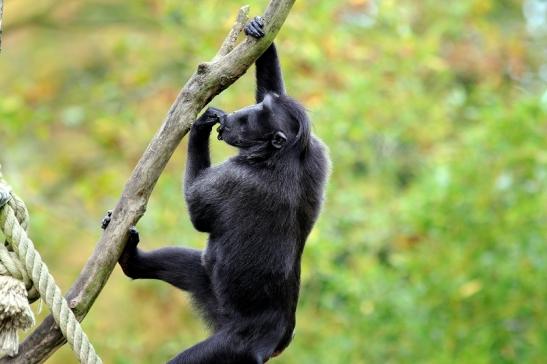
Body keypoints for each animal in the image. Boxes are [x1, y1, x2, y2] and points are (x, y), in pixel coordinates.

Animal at [104, 17, 330, 364]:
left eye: (251, 119)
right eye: (256, 106)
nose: (234, 116)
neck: (281, 156)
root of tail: (277, 342)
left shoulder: (234, 180)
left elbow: (198, 213)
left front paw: (200, 126)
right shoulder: (317, 154)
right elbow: (278, 91)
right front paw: (259, 32)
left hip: (232, 347)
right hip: (214, 298)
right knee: (191, 266)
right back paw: (132, 260)